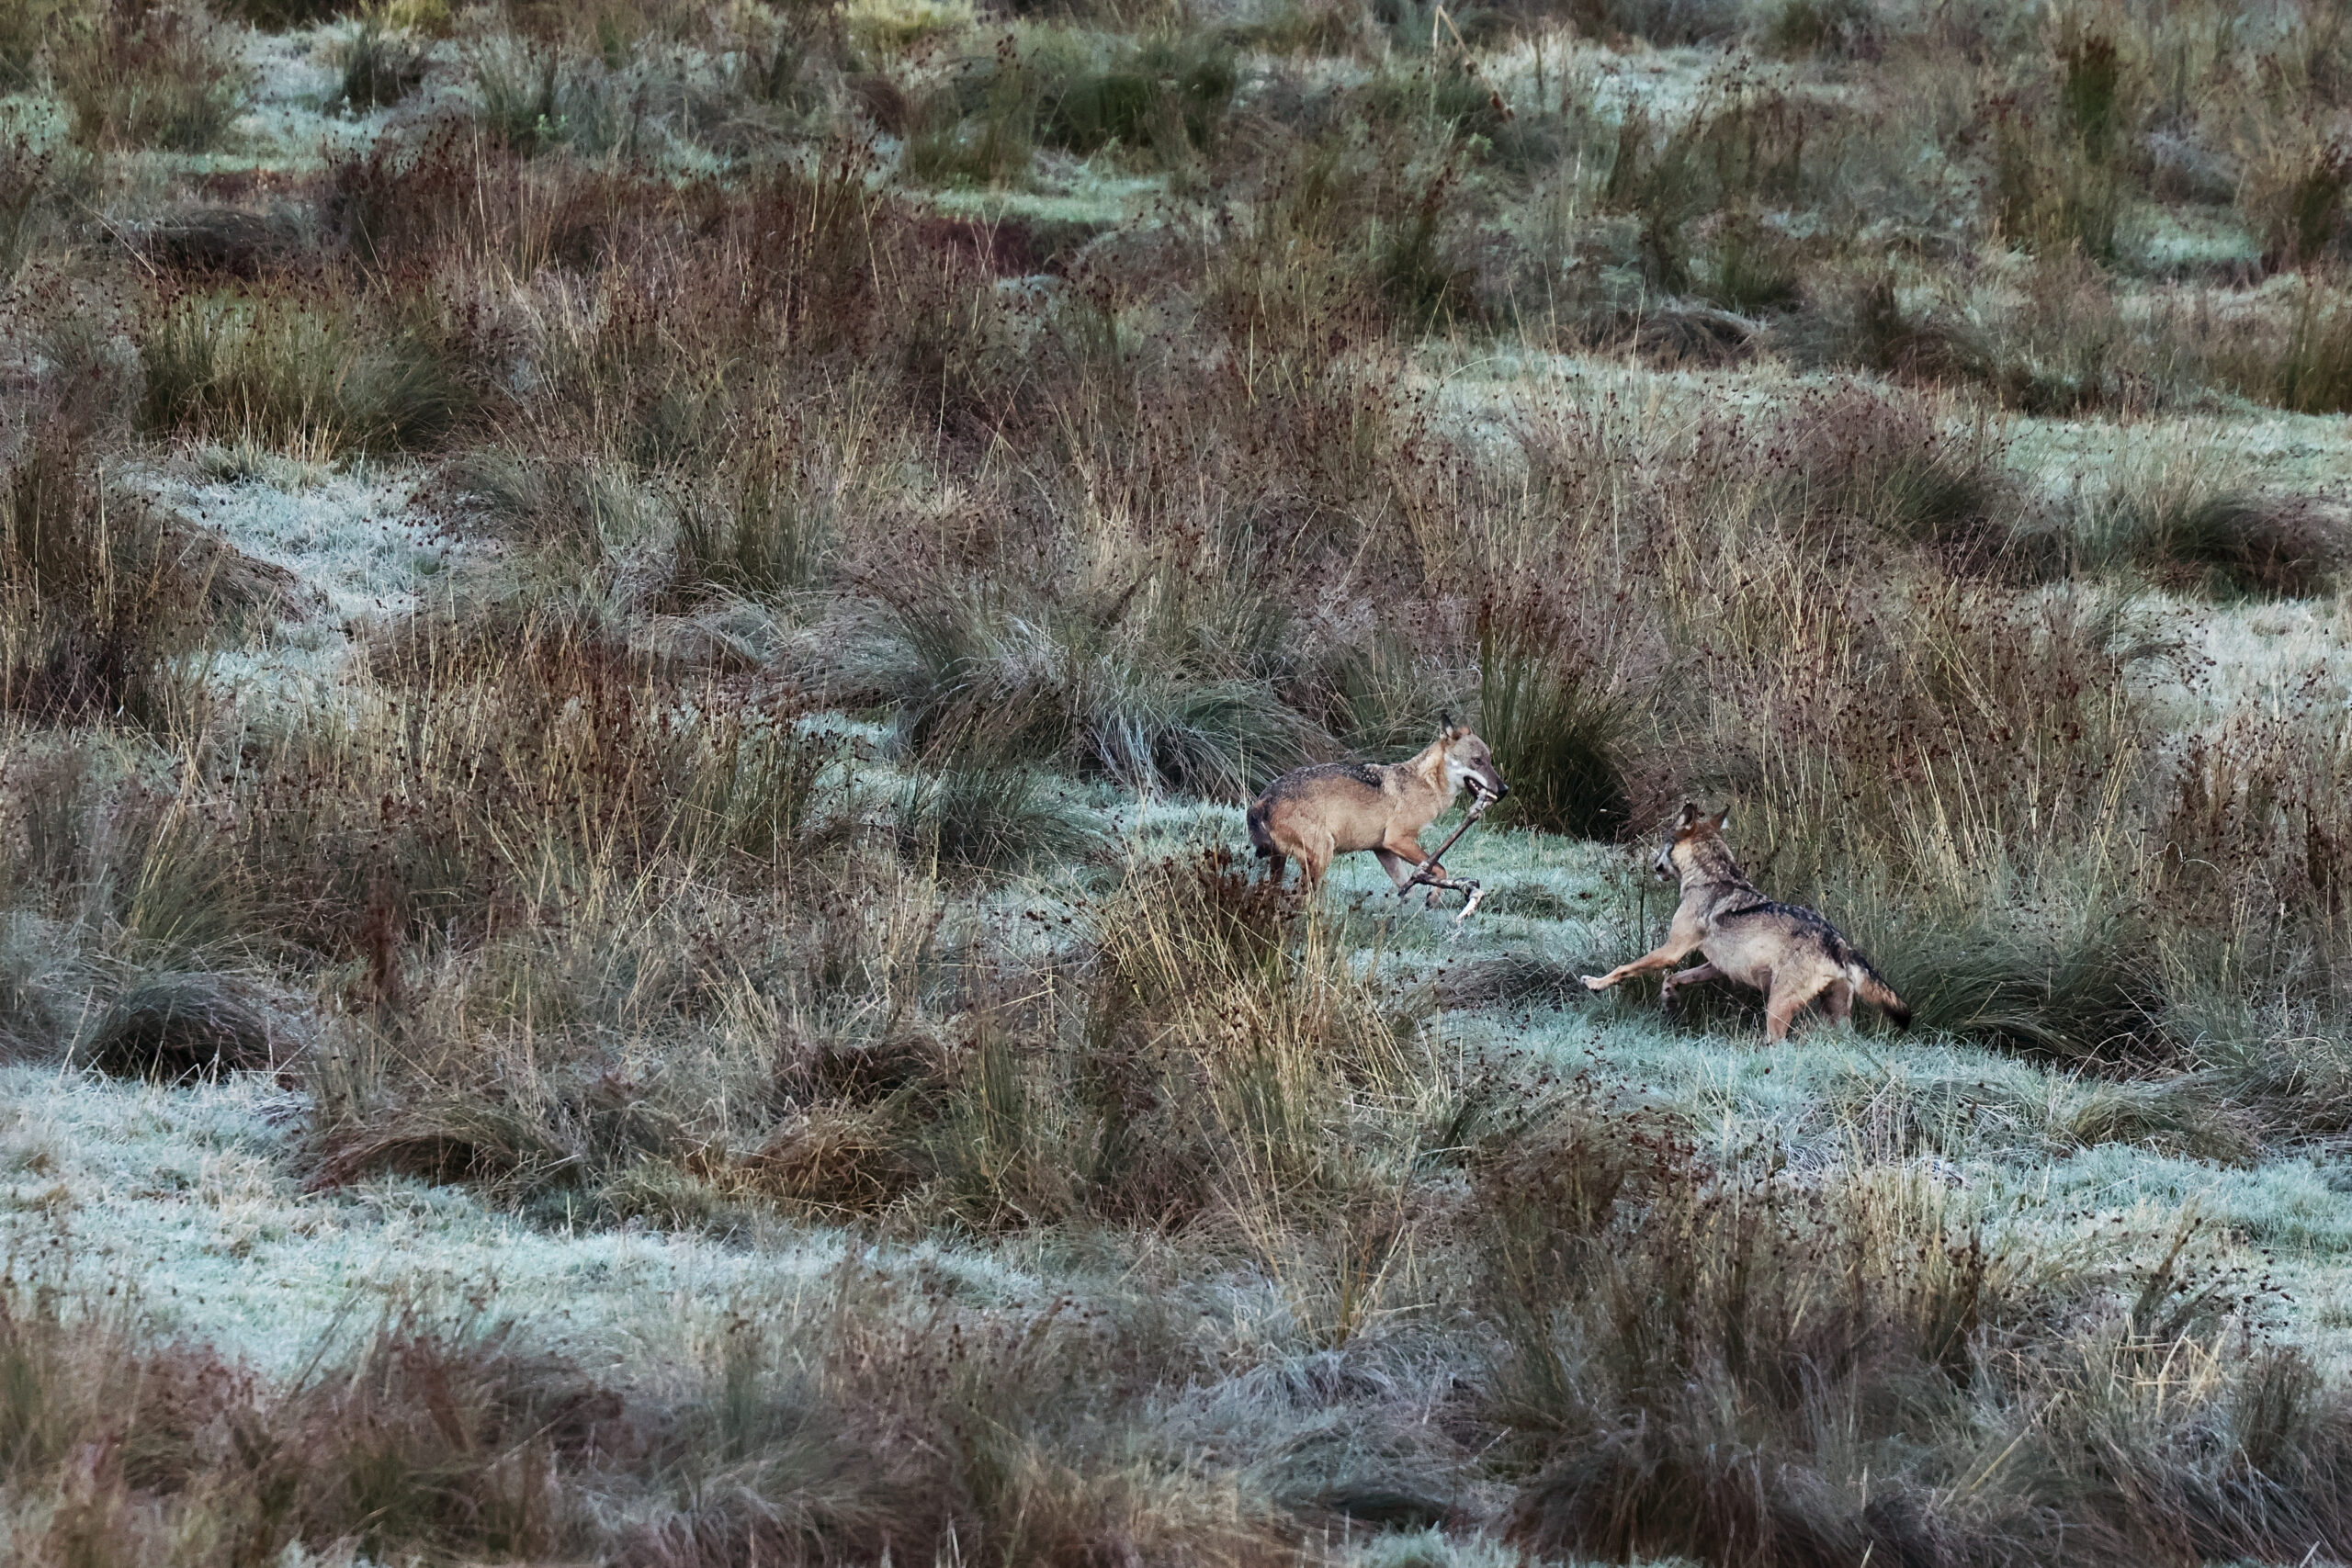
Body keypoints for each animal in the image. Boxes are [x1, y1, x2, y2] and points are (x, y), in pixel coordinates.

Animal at [1247, 716, 1508, 903]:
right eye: (1477, 761)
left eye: (1490, 760)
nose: (1504, 789)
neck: (1424, 783)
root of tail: (1262, 799)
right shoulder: (1398, 840)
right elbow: (1439, 870)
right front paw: (1433, 898)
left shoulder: (1383, 850)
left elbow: (1407, 888)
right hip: (1321, 857)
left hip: (1280, 862)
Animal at [1580, 803, 1910, 1041]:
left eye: (1663, 842)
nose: (1654, 865)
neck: (1712, 877)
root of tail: (1839, 943)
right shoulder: (1715, 965)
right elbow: (1672, 978)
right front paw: (1669, 999)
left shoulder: (1672, 950)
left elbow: (1625, 968)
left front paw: (1595, 983)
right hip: (1836, 1019)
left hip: (1776, 1009)